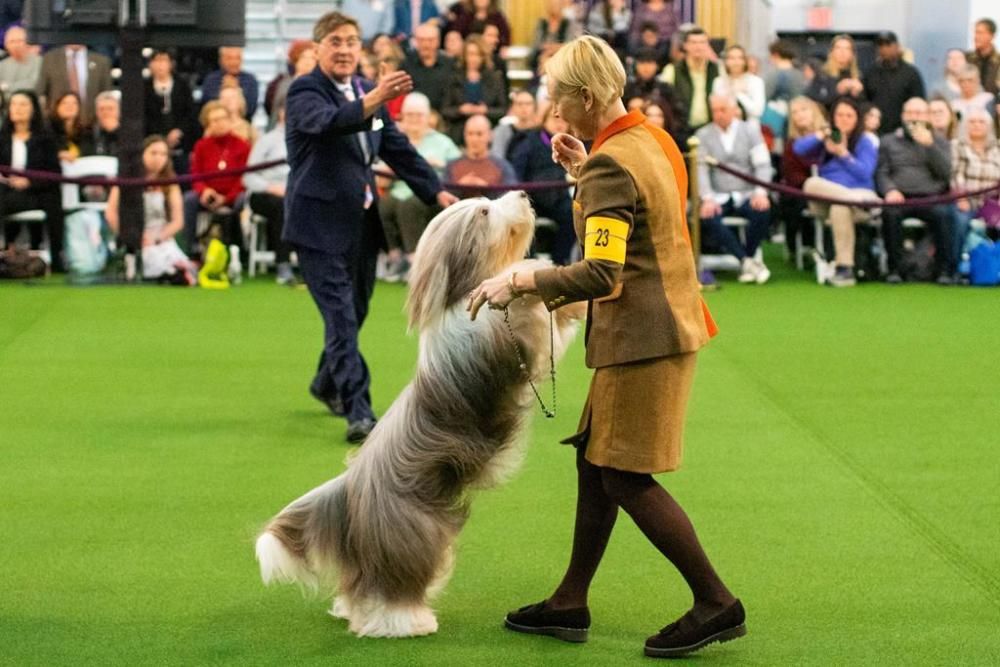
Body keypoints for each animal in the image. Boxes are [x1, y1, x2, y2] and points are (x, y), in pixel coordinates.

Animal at [254, 190, 584, 640]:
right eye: (484, 211)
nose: (521, 193)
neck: (459, 295)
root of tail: (351, 489)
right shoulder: (508, 341)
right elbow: (534, 322)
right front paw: (531, 275)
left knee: (359, 585)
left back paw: (353, 610)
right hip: (411, 533)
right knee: (395, 584)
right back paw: (406, 621)